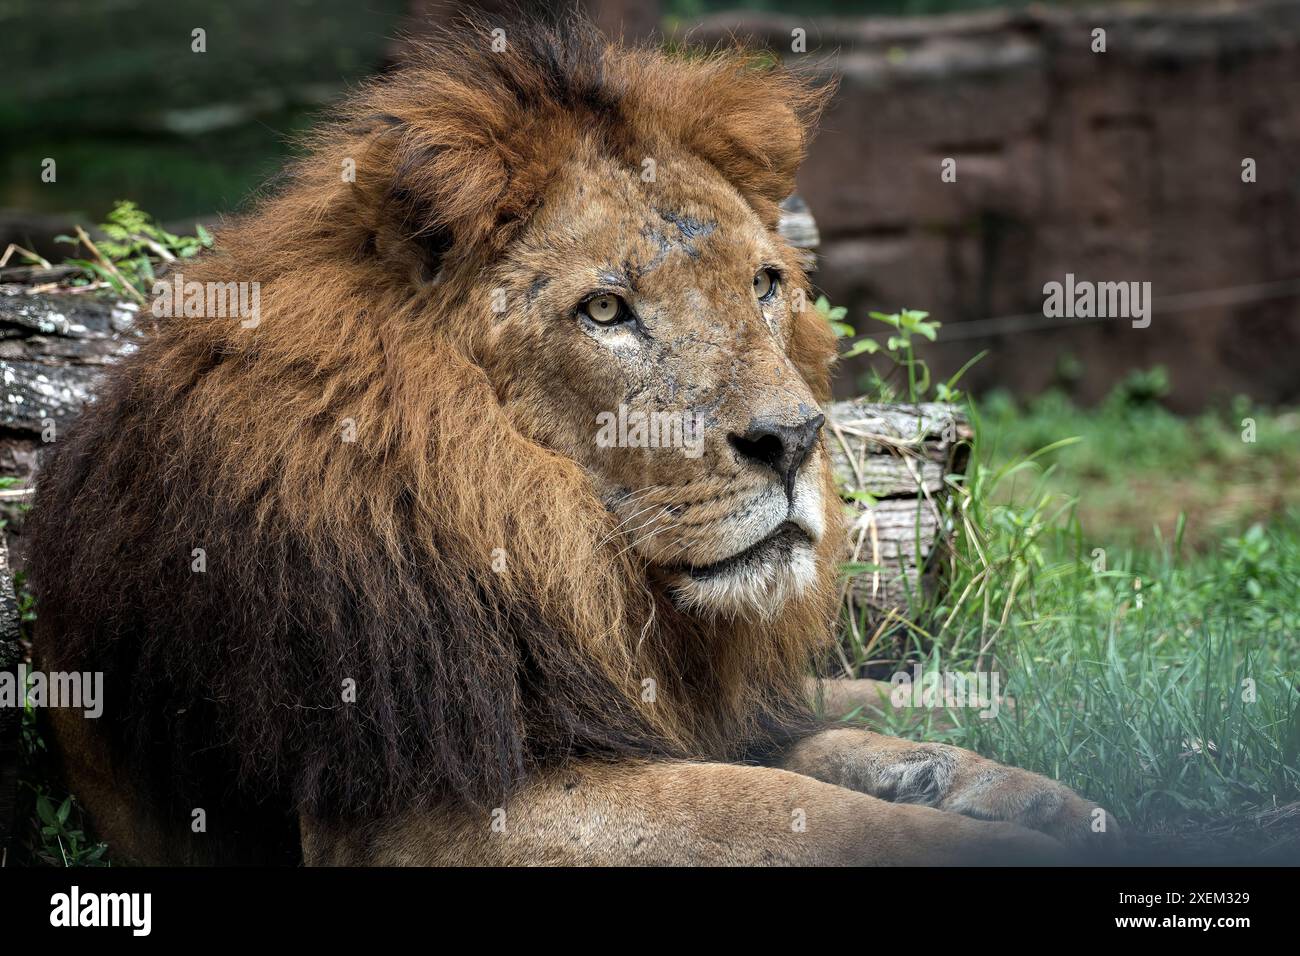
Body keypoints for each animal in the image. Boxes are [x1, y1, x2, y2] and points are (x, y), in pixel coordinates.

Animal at [27, 16, 1118, 868]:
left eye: (764, 283)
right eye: (605, 310)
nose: (796, 438)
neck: (546, 528)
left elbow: (824, 752)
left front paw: (1032, 795)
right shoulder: (424, 809)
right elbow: (776, 811)